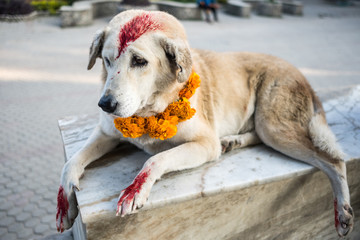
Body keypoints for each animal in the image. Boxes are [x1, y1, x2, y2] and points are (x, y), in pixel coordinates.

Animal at [54, 8, 352, 236]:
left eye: (139, 61)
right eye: (106, 59)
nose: (105, 105)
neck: (150, 110)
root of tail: (302, 75)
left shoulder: (205, 144)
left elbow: (155, 159)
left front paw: (135, 189)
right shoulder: (106, 133)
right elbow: (70, 163)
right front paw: (65, 202)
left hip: (274, 126)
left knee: (334, 161)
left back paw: (343, 211)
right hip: (267, 127)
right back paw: (232, 141)